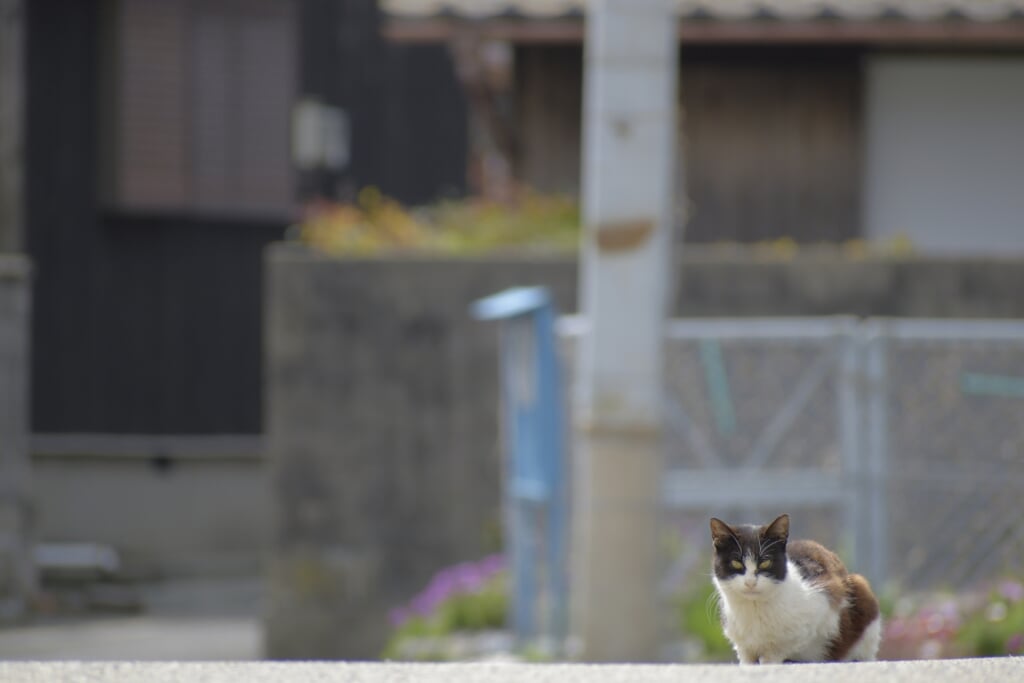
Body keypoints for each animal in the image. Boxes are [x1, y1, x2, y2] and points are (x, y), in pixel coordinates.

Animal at [708, 516, 884, 663]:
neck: (754, 609)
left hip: (860, 587)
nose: (750, 583)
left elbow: (783, 646)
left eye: (765, 563)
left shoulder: (824, 601)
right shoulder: (742, 645)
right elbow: (746, 659)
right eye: (736, 563)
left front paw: (769, 659)